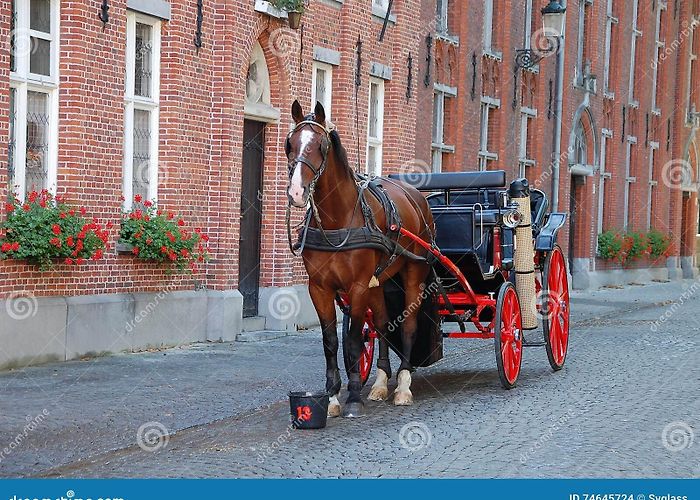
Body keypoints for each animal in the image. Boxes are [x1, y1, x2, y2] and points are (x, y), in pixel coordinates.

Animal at [285, 100, 435, 417]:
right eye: (290, 143)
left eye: (319, 145)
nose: (296, 192)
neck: (337, 220)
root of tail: (417, 197)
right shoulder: (320, 288)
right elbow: (331, 342)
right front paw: (331, 397)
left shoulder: (357, 286)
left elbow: (353, 340)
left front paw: (353, 397)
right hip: (378, 283)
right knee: (383, 325)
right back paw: (379, 384)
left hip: (413, 272)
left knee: (408, 325)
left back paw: (403, 386)